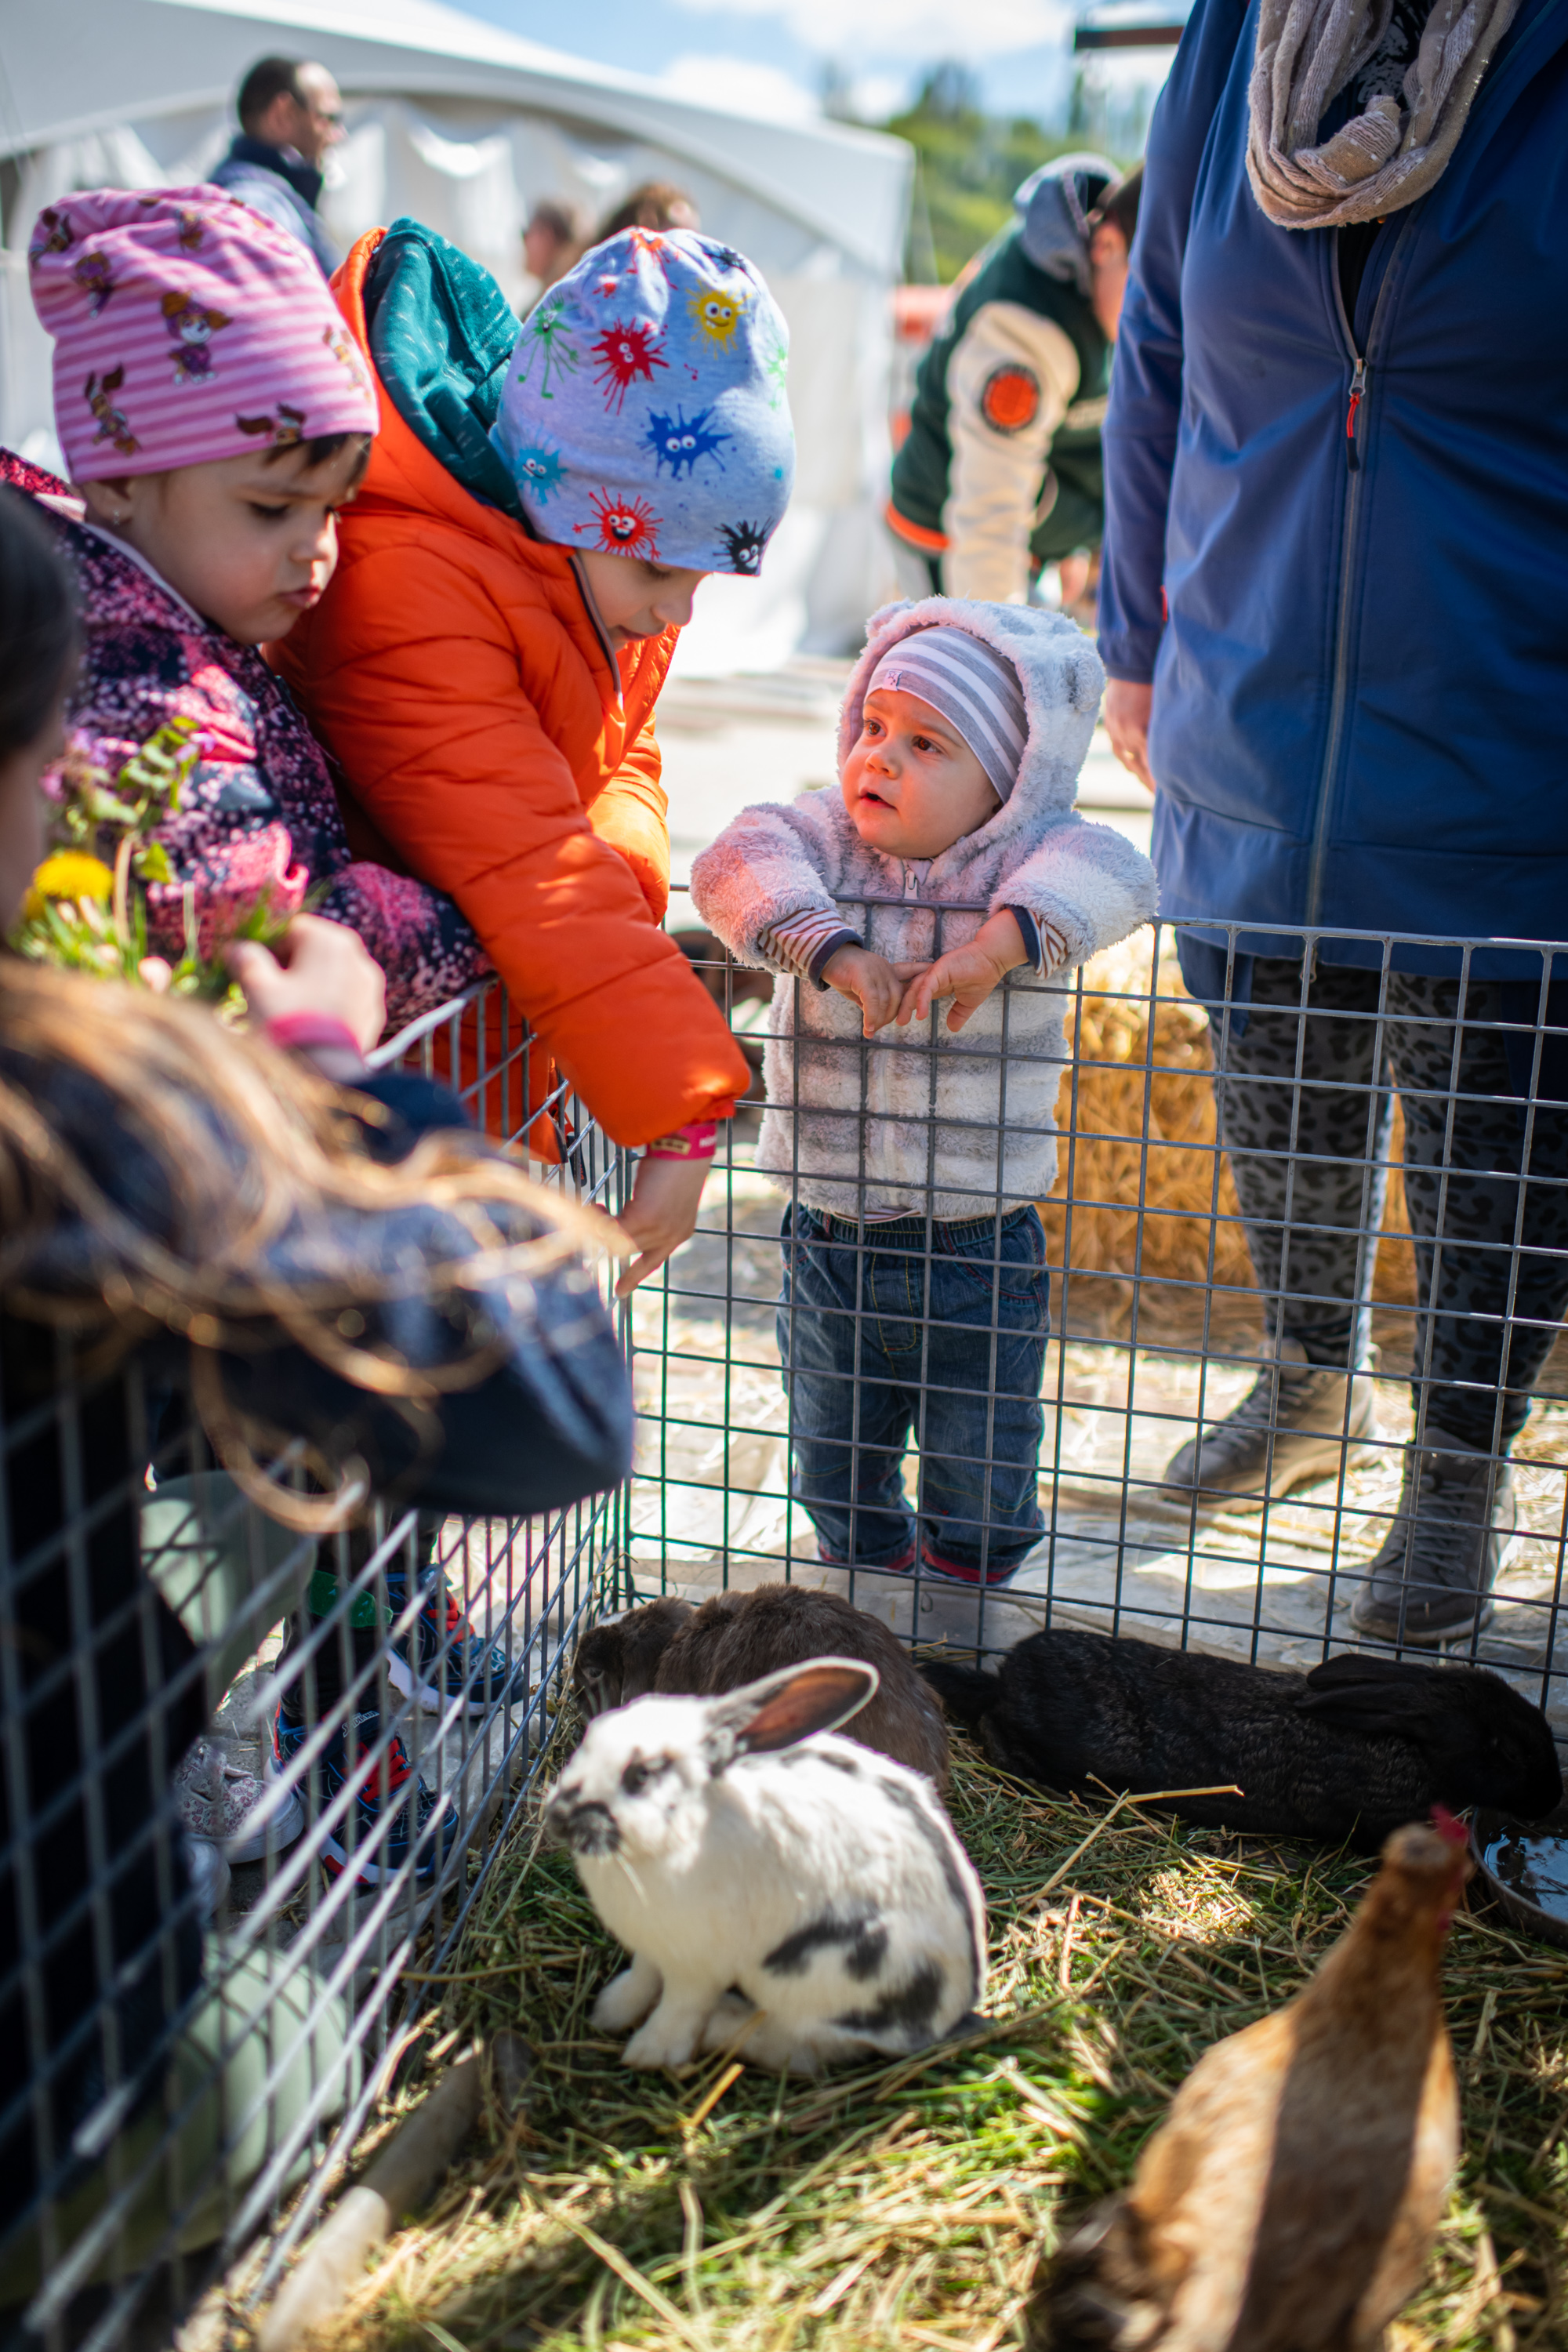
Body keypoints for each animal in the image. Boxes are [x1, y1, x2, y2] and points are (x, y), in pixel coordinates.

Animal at [540, 1665, 982, 2070]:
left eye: (642, 1775)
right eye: (589, 1738)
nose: (557, 1816)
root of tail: (952, 2012)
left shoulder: (698, 1967)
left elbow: (679, 2008)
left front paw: (651, 2054)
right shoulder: (651, 1946)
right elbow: (641, 1977)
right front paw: (608, 2013)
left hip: (809, 1979)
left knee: (804, 2048)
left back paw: (722, 2027)